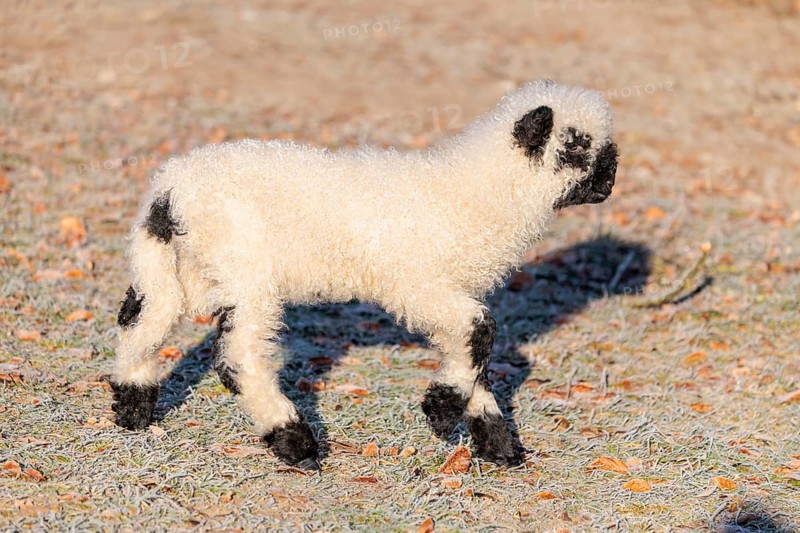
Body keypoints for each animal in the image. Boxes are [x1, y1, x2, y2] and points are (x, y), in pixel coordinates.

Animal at [110, 80, 618, 470]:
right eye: (576, 146)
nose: (608, 184)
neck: (476, 191)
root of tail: (170, 188)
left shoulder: (445, 296)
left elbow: (474, 355)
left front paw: (495, 444)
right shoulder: (418, 286)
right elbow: (481, 331)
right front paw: (441, 413)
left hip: (188, 266)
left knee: (142, 318)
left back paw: (132, 408)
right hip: (245, 267)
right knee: (239, 358)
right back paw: (294, 440)